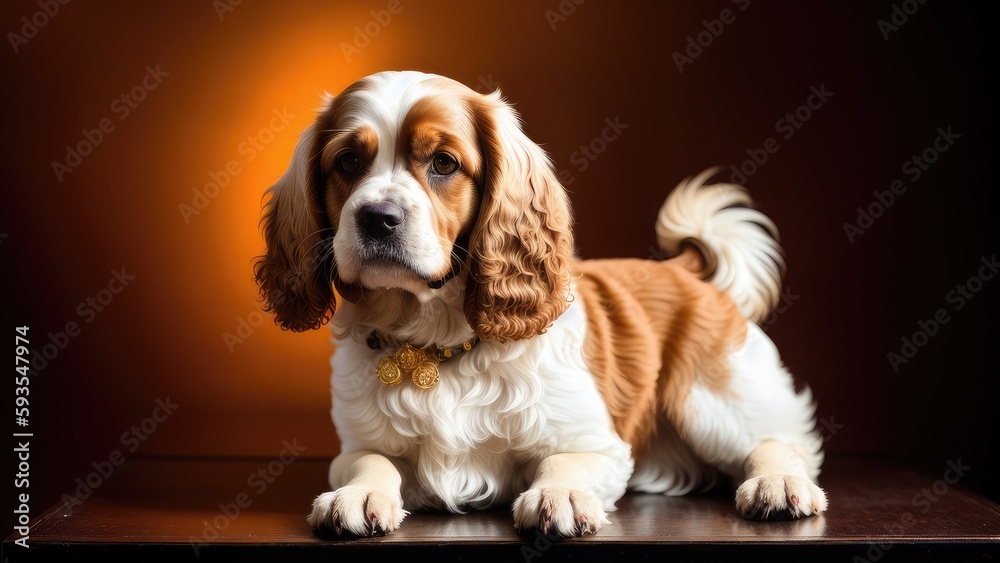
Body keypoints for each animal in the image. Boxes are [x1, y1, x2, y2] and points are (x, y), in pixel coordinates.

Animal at [254, 72, 824, 540]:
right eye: (348, 161)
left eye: (443, 163)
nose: (377, 217)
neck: (434, 337)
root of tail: (683, 269)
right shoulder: (355, 443)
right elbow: (371, 462)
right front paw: (359, 493)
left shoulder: (598, 443)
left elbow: (563, 461)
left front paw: (560, 495)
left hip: (707, 399)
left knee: (777, 440)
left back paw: (778, 483)